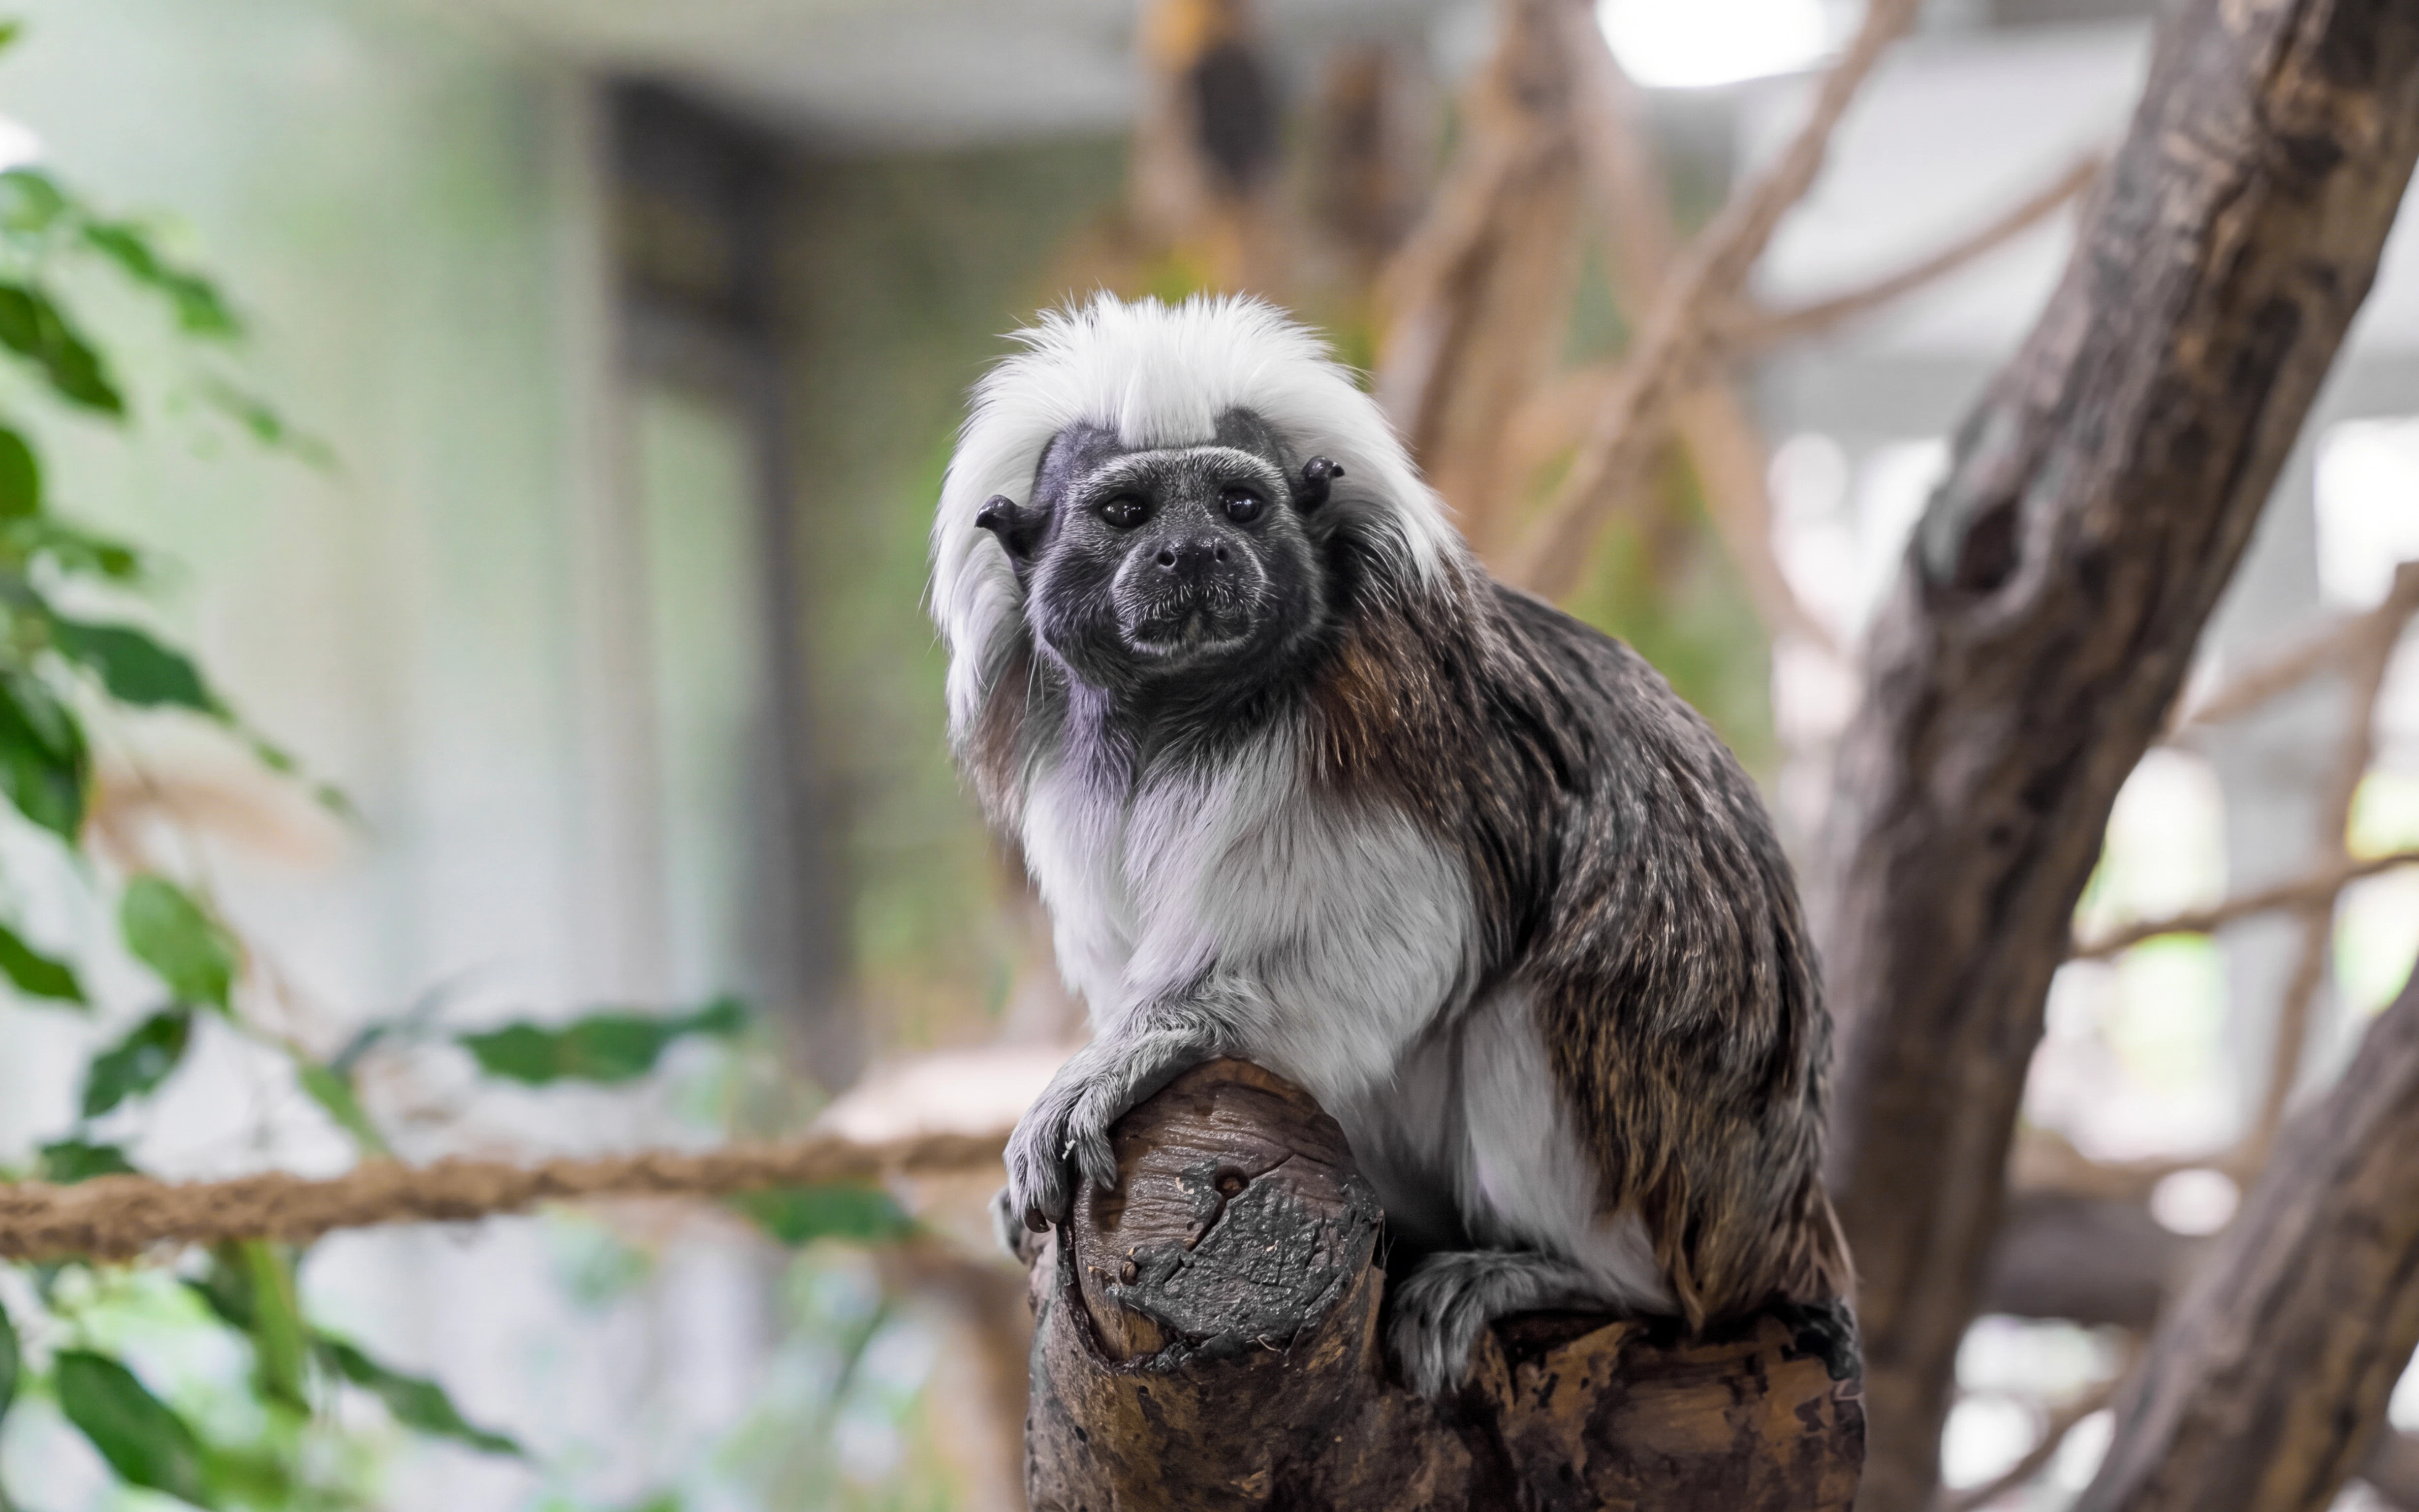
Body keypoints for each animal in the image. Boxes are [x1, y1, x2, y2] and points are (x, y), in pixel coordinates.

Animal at [930, 293, 1850, 1398]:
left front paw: (1162, 1042)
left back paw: (1572, 1272)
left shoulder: (1399, 723)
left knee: (1545, 997)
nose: (1192, 553)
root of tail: (1791, 1222)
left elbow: (1409, 940)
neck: (1182, 718)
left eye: (1240, 504)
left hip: (1698, 1174)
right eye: (1127, 514)